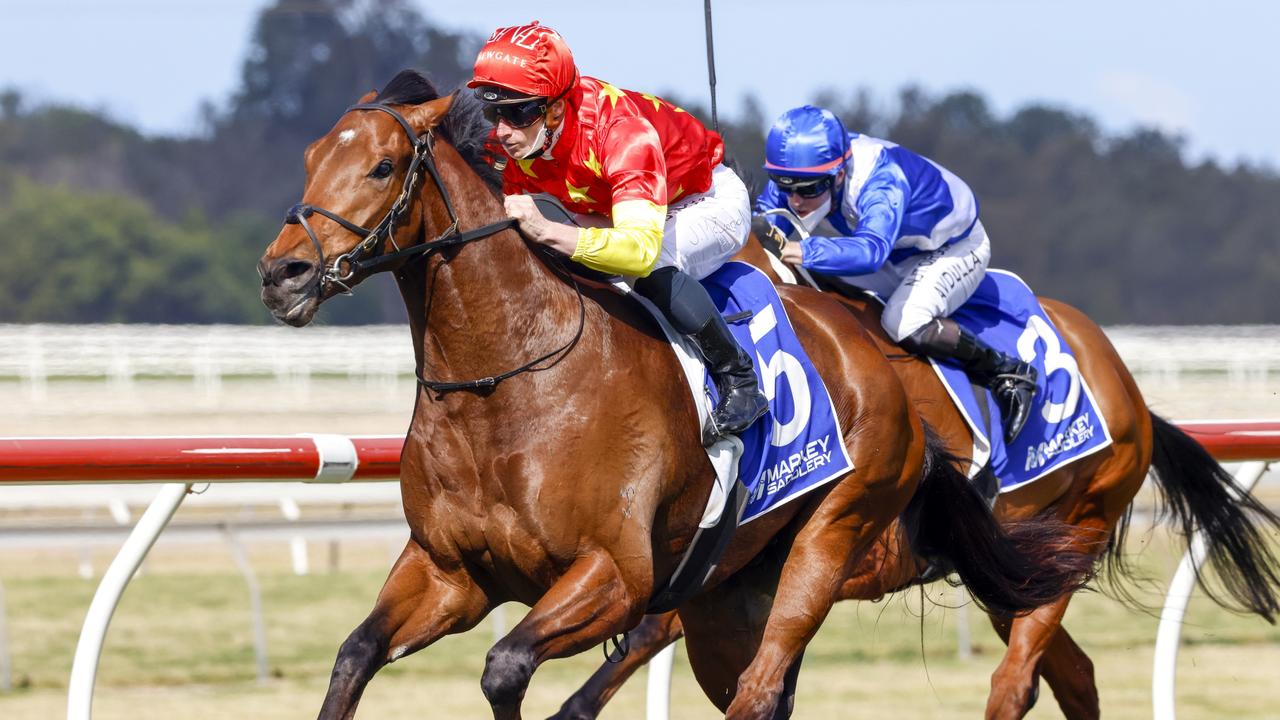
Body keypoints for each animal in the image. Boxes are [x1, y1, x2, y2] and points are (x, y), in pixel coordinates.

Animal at [257, 68, 1090, 717]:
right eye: (308, 158)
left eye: (382, 166)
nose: (282, 274)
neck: (505, 382)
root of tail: (876, 363)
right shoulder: (450, 573)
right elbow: (355, 654)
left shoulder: (617, 576)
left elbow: (505, 670)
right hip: (727, 596)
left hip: (833, 539)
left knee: (765, 690)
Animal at [552, 237, 1280, 717]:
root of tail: (1128, 386)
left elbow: (662, 626)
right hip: (1012, 571)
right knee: (1072, 673)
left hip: (1081, 524)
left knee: (1017, 681)